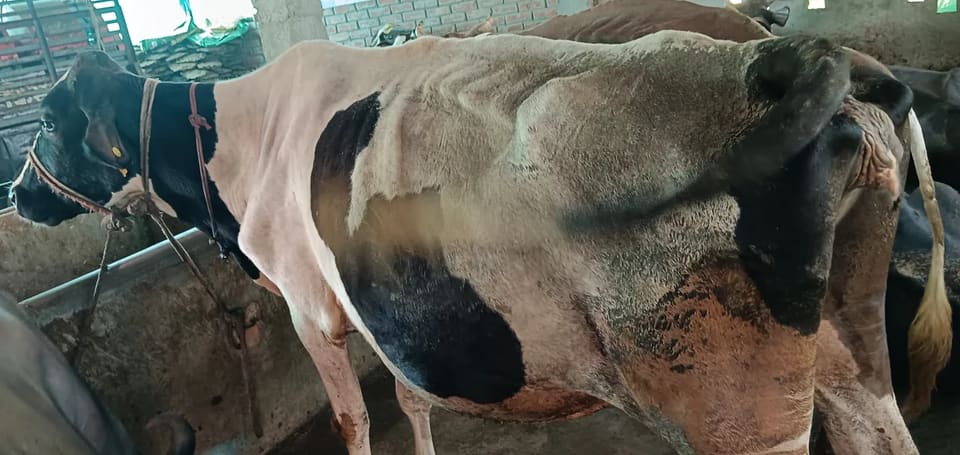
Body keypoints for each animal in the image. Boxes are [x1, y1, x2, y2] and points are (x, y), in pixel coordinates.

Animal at [6, 6, 947, 455]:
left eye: (47, 123)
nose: (17, 194)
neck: (240, 146)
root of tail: (804, 60)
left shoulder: (313, 308)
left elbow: (354, 419)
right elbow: (412, 400)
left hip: (735, 404)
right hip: (852, 355)